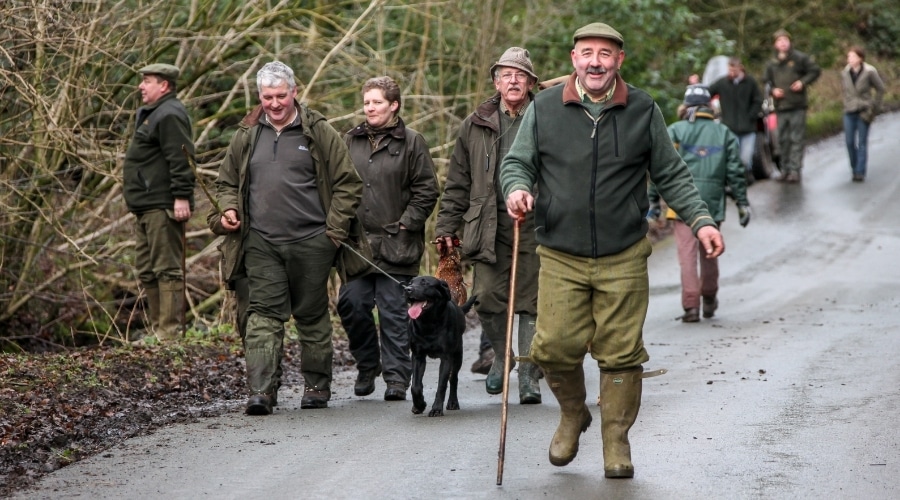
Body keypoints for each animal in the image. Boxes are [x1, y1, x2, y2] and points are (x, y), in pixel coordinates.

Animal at [406, 276, 478, 416]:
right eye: (410, 283)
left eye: (425, 283)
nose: (408, 289)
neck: (428, 323)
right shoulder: (418, 356)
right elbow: (415, 386)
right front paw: (419, 405)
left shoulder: (446, 358)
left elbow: (442, 385)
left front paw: (436, 409)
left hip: (457, 356)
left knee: (453, 378)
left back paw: (453, 402)